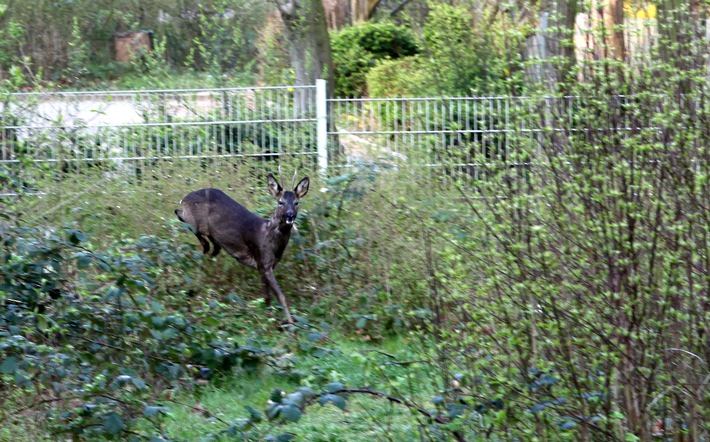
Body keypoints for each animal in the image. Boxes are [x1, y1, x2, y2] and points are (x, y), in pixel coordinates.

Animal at [175, 171, 308, 322]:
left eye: (297, 202)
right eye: (280, 202)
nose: (290, 215)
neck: (268, 236)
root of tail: (184, 198)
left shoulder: (266, 266)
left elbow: (266, 296)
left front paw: (269, 317)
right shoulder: (262, 261)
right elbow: (280, 295)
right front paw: (290, 324)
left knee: (211, 243)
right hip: (195, 219)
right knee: (180, 215)